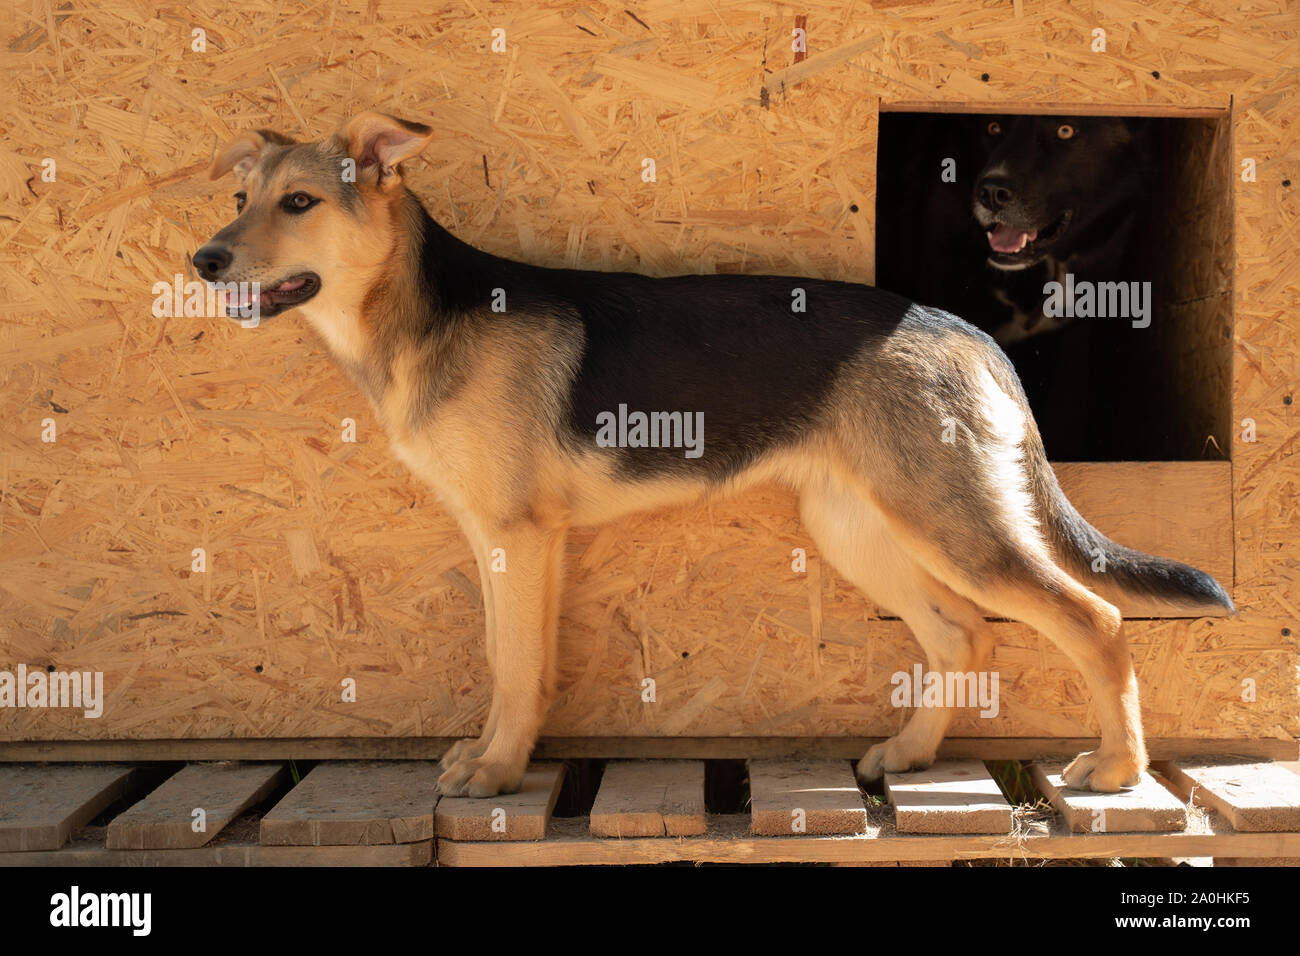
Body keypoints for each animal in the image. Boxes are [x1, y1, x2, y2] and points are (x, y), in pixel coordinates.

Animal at [197, 111, 1232, 801]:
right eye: (240, 199)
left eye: (299, 203)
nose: (202, 261)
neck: (418, 314)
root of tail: (962, 327)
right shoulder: (505, 543)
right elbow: (504, 659)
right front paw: (489, 756)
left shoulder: (521, 539)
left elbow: (517, 667)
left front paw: (496, 772)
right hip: (864, 528)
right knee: (963, 635)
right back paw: (908, 757)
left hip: (956, 526)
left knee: (1094, 619)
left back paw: (1118, 768)